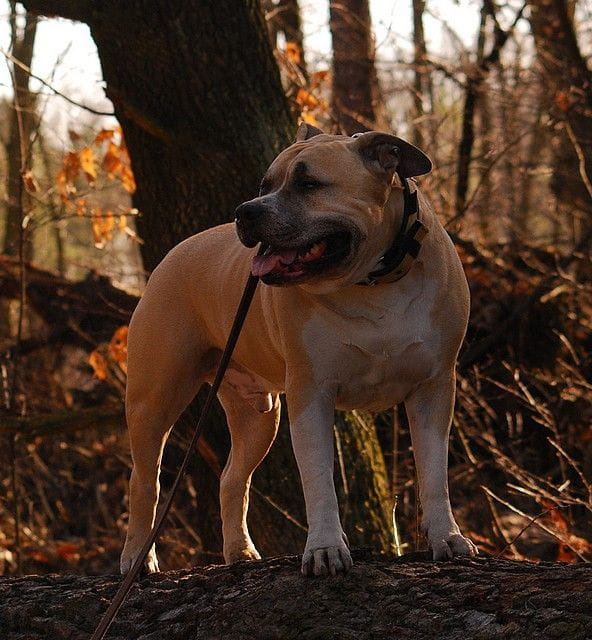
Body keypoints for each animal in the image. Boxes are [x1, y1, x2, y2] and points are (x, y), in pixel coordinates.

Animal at [120, 124, 476, 576]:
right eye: (265, 185)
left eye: (309, 184)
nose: (245, 211)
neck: (373, 282)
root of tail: (171, 256)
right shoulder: (311, 394)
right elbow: (319, 480)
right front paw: (325, 549)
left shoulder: (434, 387)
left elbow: (434, 471)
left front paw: (447, 537)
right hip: (154, 400)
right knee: (144, 482)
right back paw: (137, 557)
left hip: (258, 417)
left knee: (232, 478)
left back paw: (239, 551)